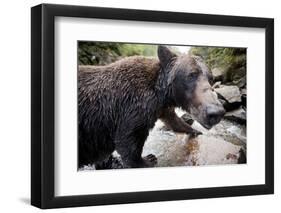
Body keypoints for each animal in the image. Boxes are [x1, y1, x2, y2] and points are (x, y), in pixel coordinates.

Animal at [77, 45, 224, 169]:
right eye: (191, 75)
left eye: (210, 78)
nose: (216, 112)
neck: (161, 92)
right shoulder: (132, 106)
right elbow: (128, 139)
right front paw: (148, 159)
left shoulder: (161, 108)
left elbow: (174, 121)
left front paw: (195, 130)